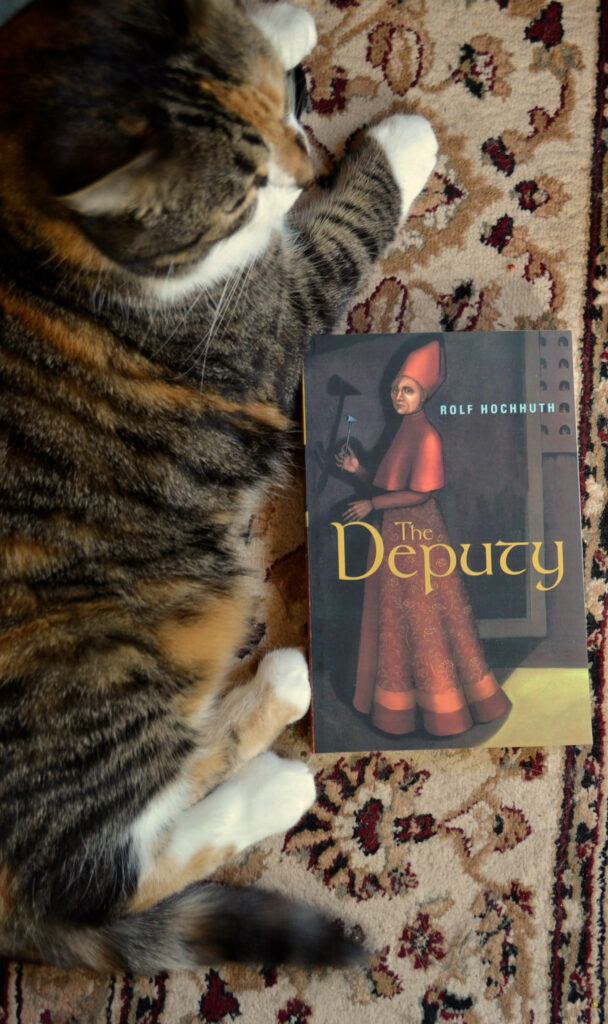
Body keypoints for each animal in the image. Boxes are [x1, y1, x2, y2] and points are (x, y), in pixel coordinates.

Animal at [0, 0, 436, 970]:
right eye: (244, 191)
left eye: (286, 113)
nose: (309, 161)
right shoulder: (271, 320)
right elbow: (342, 232)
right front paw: (401, 141)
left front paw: (284, 23)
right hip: (100, 663)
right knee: (109, 869)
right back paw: (279, 760)